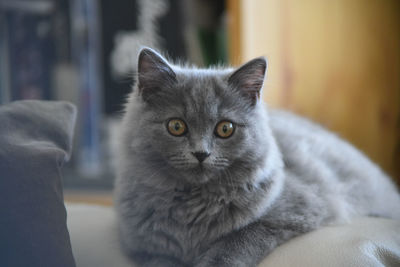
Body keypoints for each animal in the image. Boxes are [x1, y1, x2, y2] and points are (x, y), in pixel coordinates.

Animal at [113, 48, 400, 267]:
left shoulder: (293, 213)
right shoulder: (147, 249)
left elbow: (238, 240)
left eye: (225, 129)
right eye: (176, 126)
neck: (192, 207)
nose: (201, 153)